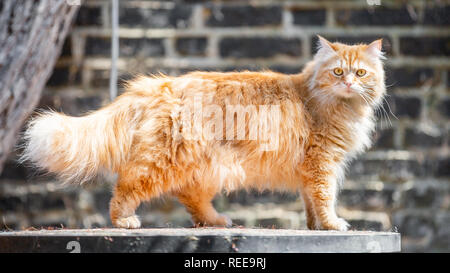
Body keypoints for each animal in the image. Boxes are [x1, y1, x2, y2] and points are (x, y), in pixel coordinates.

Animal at [21, 36, 384, 230]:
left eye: (360, 73)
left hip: (206, 167)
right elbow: (325, 198)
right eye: (337, 71)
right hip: (164, 163)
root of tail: (159, 85)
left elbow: (310, 202)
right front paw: (334, 224)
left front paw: (314, 226)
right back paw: (124, 221)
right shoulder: (322, 163)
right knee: (125, 187)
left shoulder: (312, 169)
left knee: (191, 198)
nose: (348, 83)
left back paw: (215, 220)